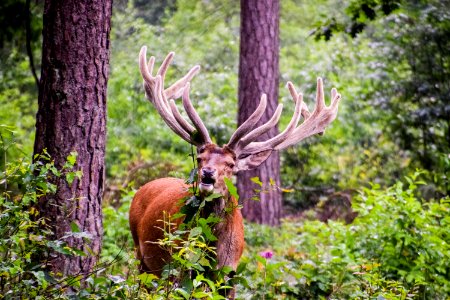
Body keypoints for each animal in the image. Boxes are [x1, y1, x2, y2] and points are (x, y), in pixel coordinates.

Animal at [128, 46, 340, 296]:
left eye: (231, 165)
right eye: (200, 158)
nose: (207, 174)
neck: (213, 252)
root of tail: (142, 188)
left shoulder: (229, 274)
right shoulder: (178, 267)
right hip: (142, 255)